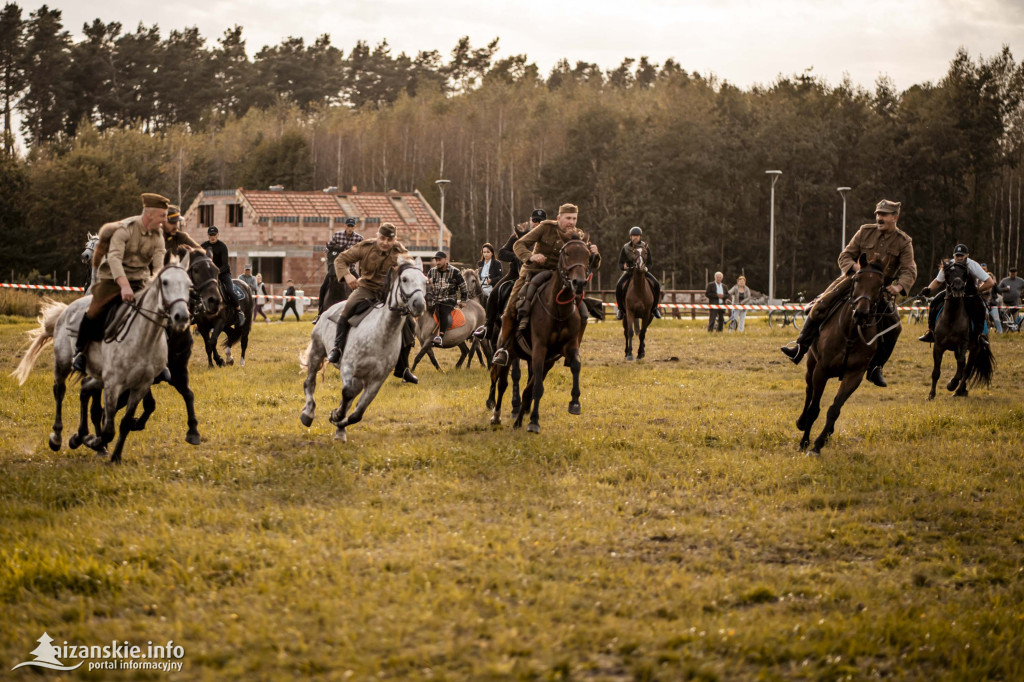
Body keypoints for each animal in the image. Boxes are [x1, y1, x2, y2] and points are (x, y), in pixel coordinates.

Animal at [12, 260, 192, 462]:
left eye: (189, 285)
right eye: (165, 283)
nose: (182, 317)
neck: (143, 339)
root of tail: (66, 309)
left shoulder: (141, 385)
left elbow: (125, 422)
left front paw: (115, 456)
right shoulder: (113, 385)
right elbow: (108, 430)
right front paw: (95, 442)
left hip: (98, 375)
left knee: (85, 389)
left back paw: (79, 436)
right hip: (63, 363)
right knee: (60, 391)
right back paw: (57, 438)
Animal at [299, 260, 425, 440]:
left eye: (425, 281)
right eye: (405, 279)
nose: (419, 304)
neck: (380, 334)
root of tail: (329, 310)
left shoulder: (376, 381)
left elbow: (356, 413)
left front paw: (338, 421)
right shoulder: (348, 368)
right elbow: (346, 393)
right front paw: (336, 415)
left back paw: (340, 432)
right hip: (317, 351)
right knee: (310, 382)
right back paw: (307, 414)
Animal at [487, 238, 593, 430]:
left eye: (588, 255)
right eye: (567, 253)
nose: (579, 283)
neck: (558, 310)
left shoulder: (561, 351)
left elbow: (574, 366)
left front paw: (574, 402)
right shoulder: (539, 349)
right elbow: (535, 387)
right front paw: (534, 421)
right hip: (507, 352)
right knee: (501, 383)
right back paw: (496, 415)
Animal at [794, 251, 892, 454]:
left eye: (880, 285)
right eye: (857, 279)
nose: (861, 313)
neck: (850, 334)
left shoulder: (854, 376)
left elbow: (834, 410)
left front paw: (818, 444)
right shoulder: (821, 371)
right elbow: (814, 408)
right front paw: (805, 442)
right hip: (811, 364)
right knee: (809, 391)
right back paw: (801, 421)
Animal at [929, 259, 991, 399]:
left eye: (964, 274)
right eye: (947, 274)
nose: (958, 288)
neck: (952, 318)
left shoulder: (963, 344)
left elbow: (962, 365)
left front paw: (951, 384)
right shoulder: (938, 346)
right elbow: (936, 371)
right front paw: (931, 394)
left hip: (975, 348)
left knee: (967, 369)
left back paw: (959, 390)